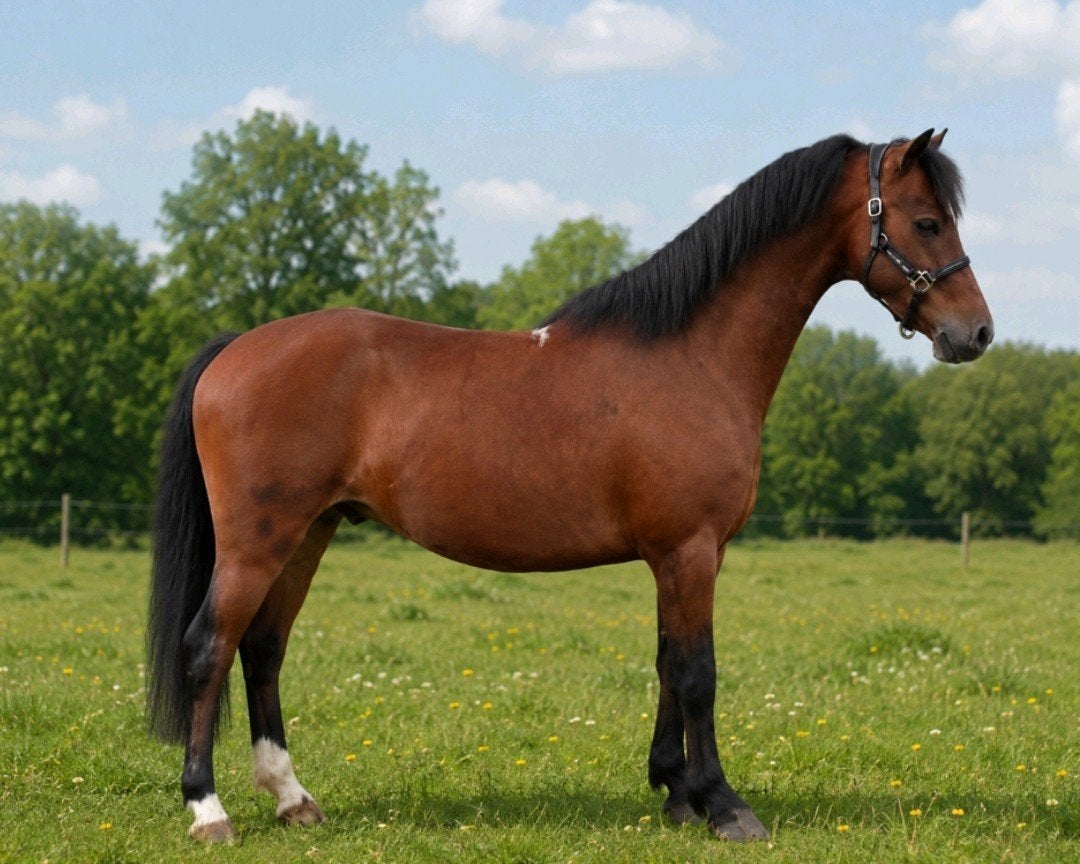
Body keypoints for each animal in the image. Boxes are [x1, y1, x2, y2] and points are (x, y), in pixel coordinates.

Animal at [146, 129, 993, 843]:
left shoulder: (680, 554)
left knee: (262, 649)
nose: (977, 333)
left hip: (308, 534)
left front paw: (676, 793)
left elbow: (667, 662)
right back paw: (207, 810)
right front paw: (723, 805)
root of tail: (237, 348)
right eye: (926, 223)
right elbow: (699, 673)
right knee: (208, 648)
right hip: (258, 542)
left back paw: (293, 799)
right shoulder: (690, 549)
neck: (691, 355)